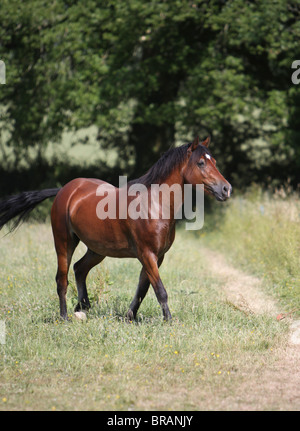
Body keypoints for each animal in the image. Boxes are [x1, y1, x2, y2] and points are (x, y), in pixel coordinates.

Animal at [0, 137, 232, 322]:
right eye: (201, 162)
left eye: (214, 161)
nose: (226, 189)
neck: (155, 204)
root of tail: (65, 190)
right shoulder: (147, 254)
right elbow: (160, 290)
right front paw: (169, 321)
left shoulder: (157, 256)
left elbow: (143, 288)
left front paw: (130, 317)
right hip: (64, 242)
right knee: (62, 279)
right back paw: (65, 317)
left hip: (97, 249)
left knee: (80, 268)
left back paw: (83, 307)